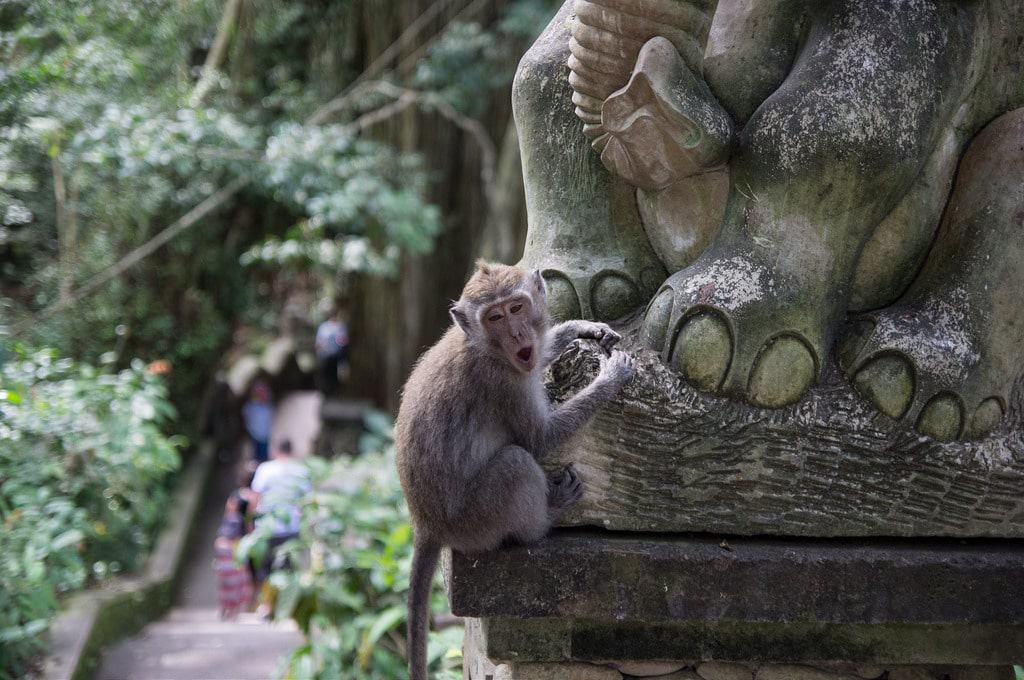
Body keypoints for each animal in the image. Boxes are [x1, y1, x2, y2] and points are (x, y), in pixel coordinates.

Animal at [391, 260, 630, 680]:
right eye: (495, 317)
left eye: (517, 308)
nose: (517, 334)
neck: (486, 349)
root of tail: (425, 522)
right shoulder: (502, 383)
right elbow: (539, 439)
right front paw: (609, 380)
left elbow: (546, 349)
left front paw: (580, 328)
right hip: (474, 522)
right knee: (516, 463)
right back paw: (546, 517)